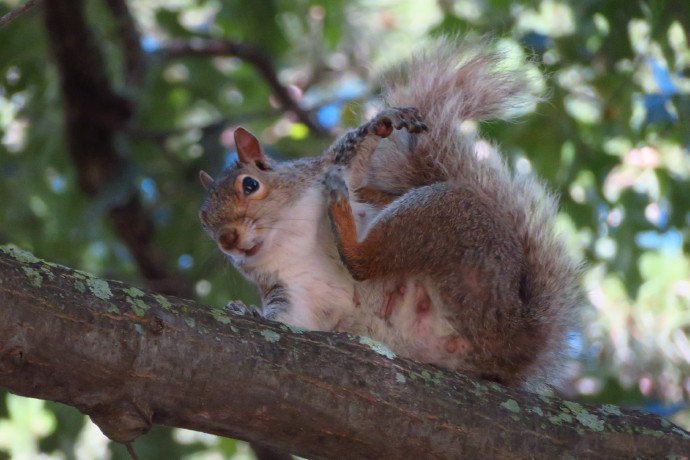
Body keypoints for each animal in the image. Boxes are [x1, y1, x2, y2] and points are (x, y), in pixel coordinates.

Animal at [198, 36, 580, 392]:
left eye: (250, 185)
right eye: (205, 222)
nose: (227, 240)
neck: (288, 240)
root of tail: (518, 340)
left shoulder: (331, 170)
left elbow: (354, 153)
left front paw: (383, 121)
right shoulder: (293, 290)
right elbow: (289, 319)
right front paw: (246, 310)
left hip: (444, 220)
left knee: (363, 262)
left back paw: (340, 209)